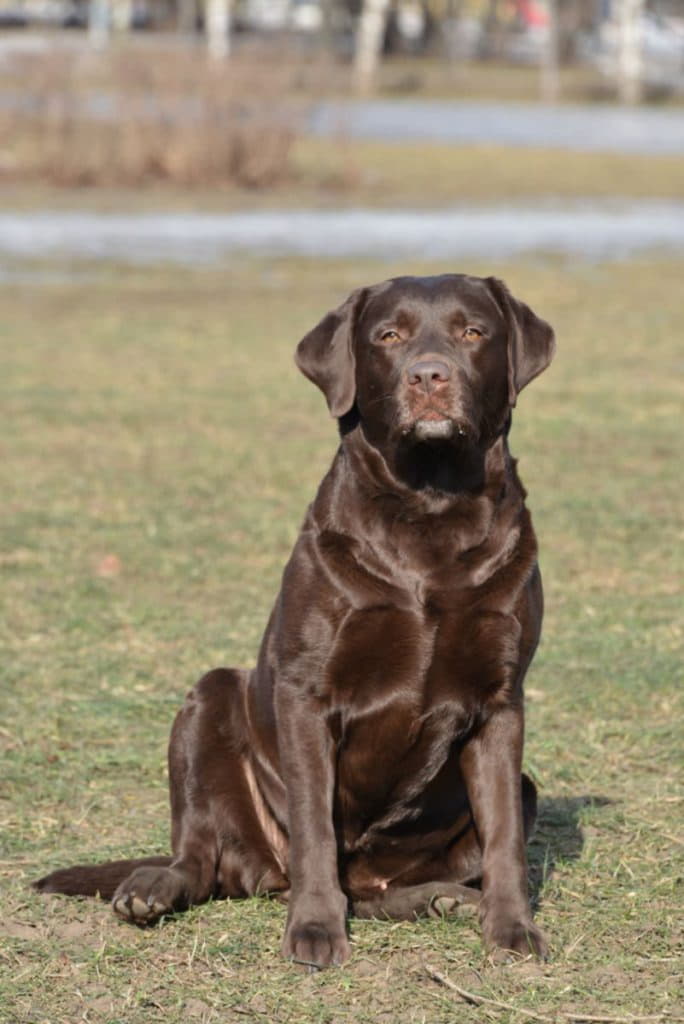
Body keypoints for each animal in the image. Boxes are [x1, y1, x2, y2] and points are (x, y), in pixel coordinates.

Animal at [33, 272, 557, 966]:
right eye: (388, 336)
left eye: (473, 332)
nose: (429, 376)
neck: (429, 509)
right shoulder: (307, 692)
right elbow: (313, 828)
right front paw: (313, 929)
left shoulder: (501, 701)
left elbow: (503, 837)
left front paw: (512, 928)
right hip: (209, 699)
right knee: (202, 855)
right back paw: (153, 887)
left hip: (518, 789)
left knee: (376, 889)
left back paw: (439, 898)